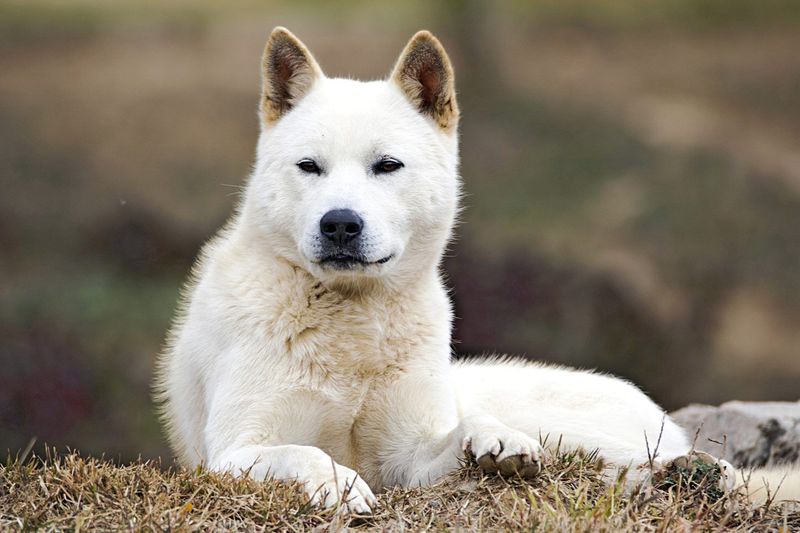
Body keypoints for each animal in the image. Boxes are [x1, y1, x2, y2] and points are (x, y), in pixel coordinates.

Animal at [153, 27, 796, 510]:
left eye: (387, 166)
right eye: (309, 167)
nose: (339, 224)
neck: (352, 329)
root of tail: (661, 413)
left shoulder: (407, 459)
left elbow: (460, 429)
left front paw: (498, 441)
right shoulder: (231, 452)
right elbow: (303, 452)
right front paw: (338, 482)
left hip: (577, 430)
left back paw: (691, 472)